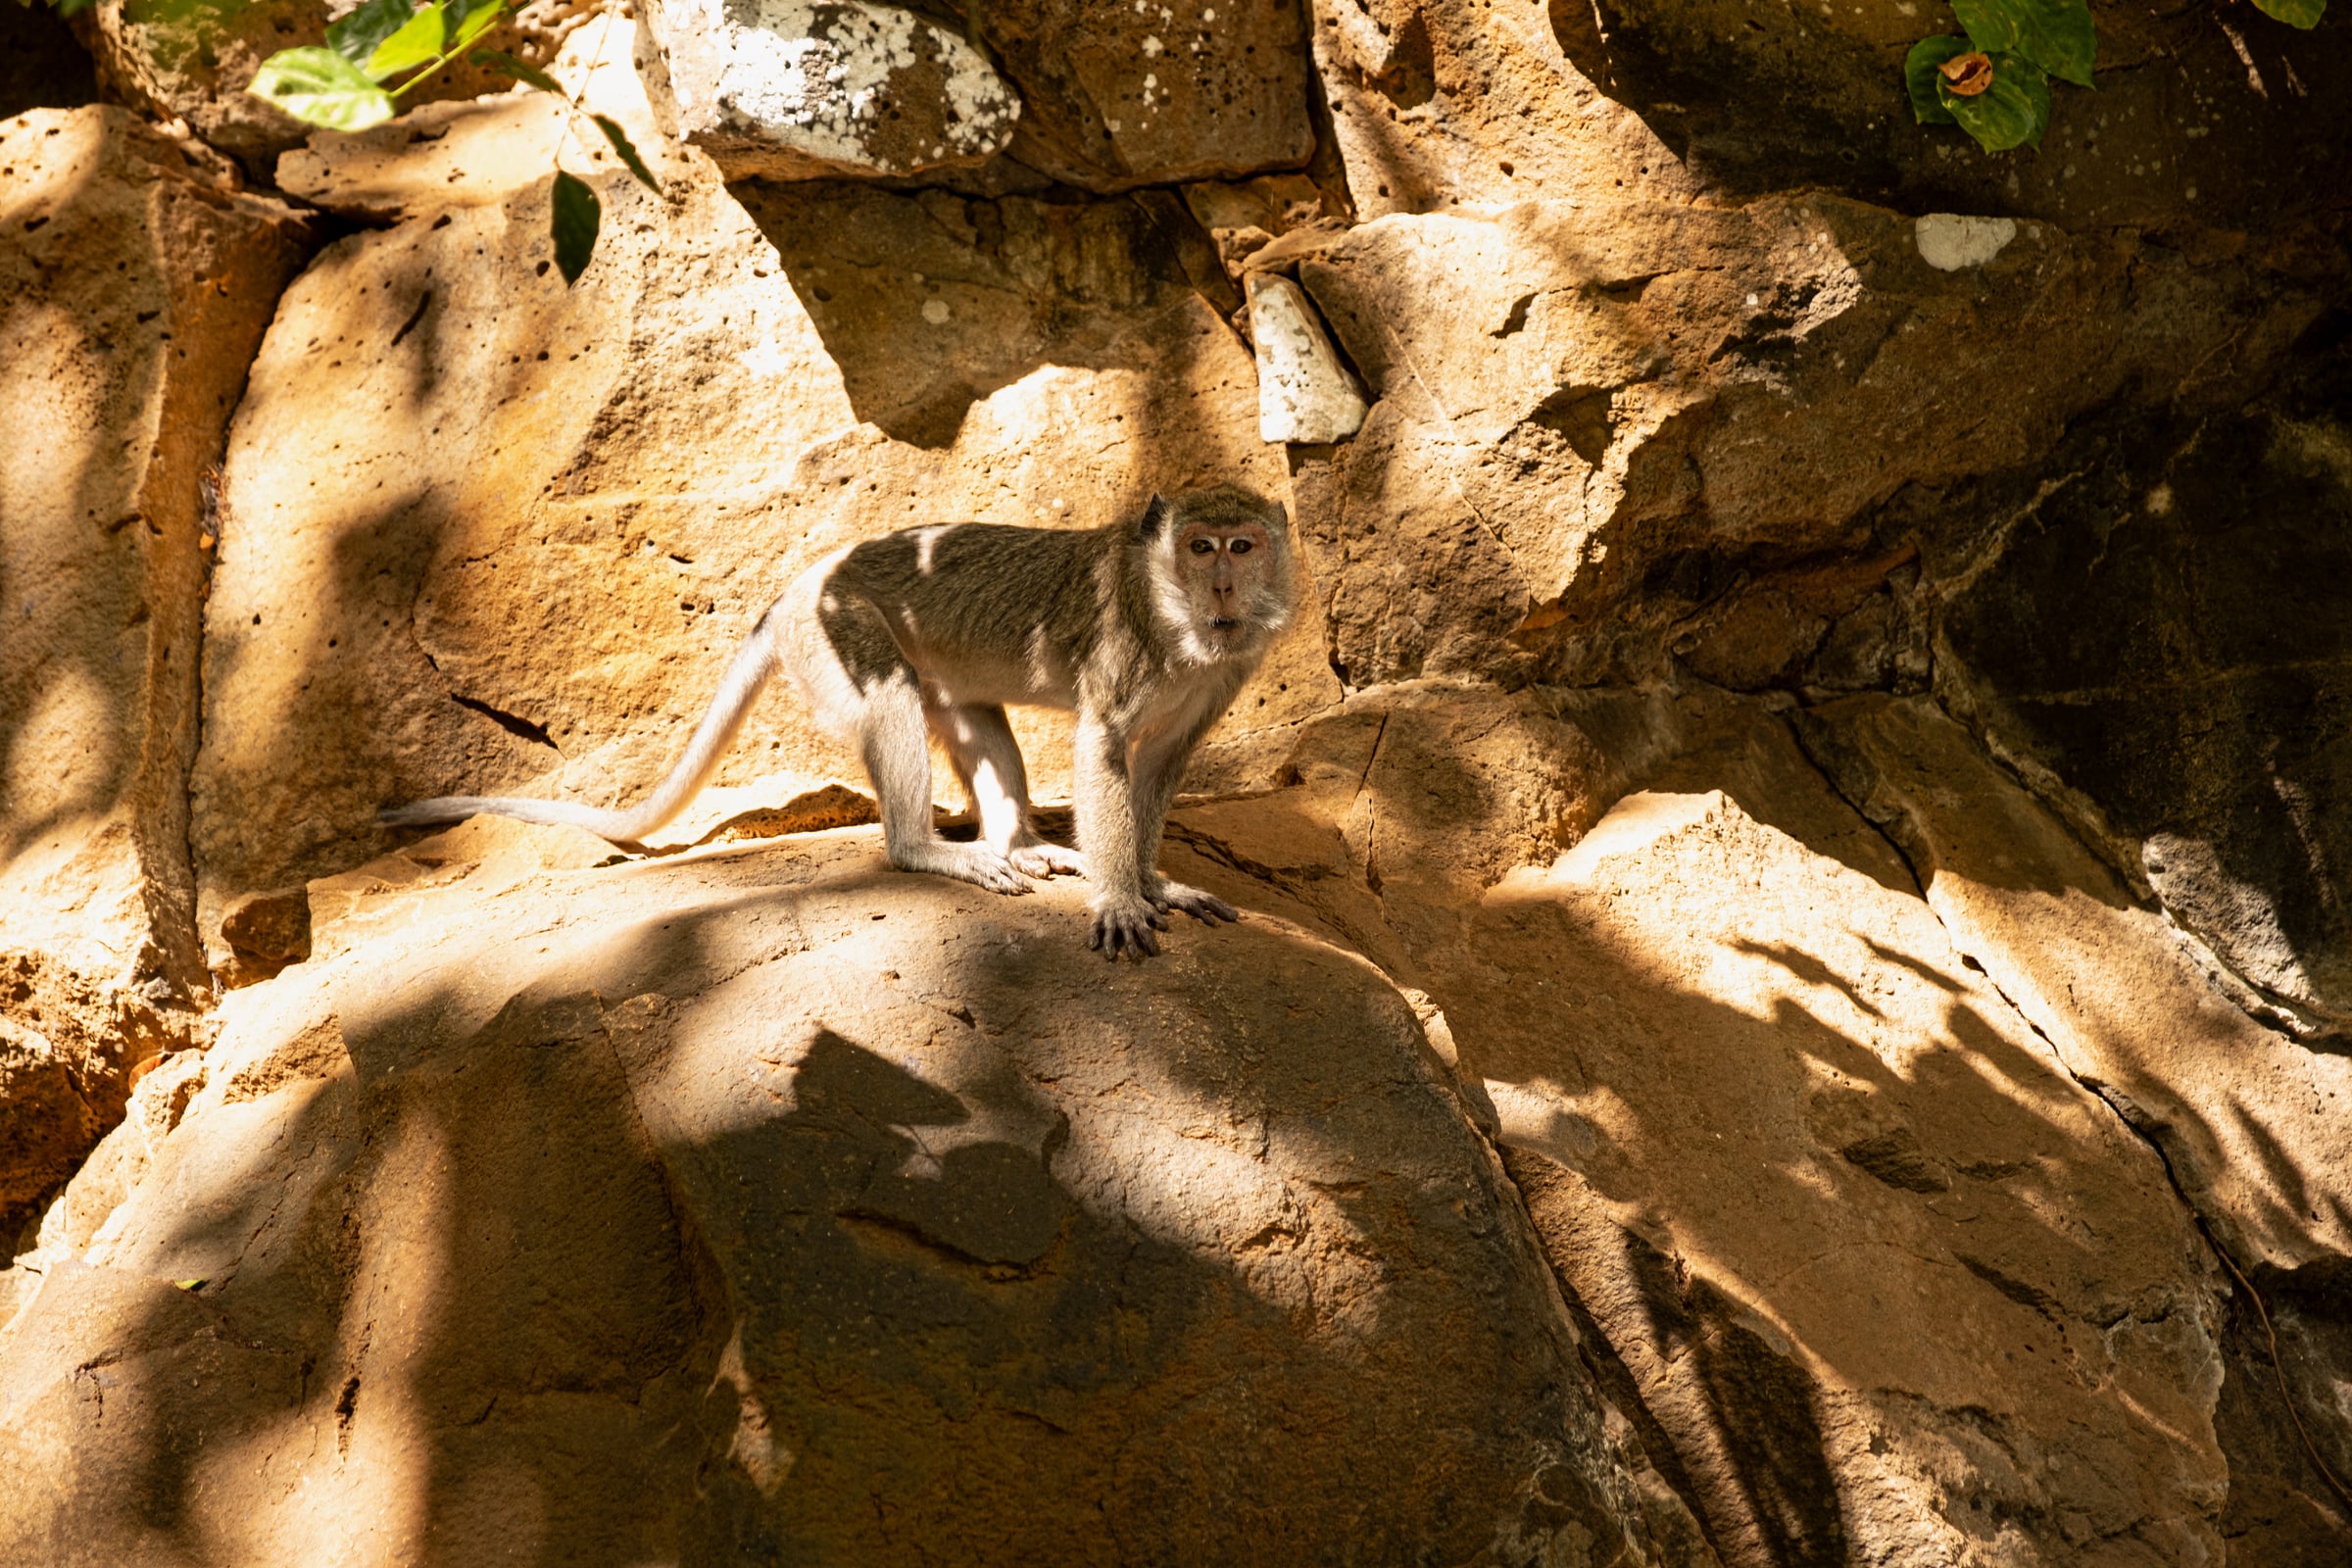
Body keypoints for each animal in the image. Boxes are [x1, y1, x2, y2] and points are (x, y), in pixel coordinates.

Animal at [382, 484, 1296, 959]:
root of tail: (798, 585)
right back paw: (927, 851)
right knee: (889, 694)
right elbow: (1103, 746)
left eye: (1242, 545)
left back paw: (1017, 844)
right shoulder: (1123, 644)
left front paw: (1152, 881)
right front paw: (1119, 899)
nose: (1223, 587)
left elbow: (1160, 764)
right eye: (1201, 547)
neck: (1178, 620)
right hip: (835, 630)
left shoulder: (1226, 670)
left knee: (971, 716)